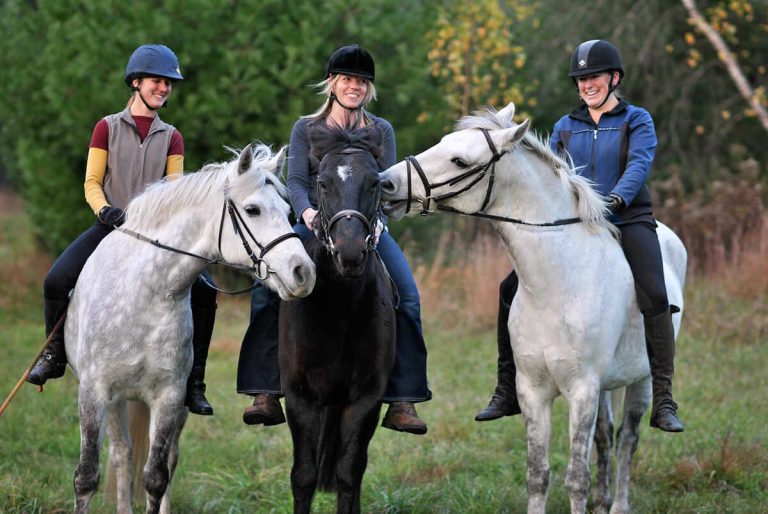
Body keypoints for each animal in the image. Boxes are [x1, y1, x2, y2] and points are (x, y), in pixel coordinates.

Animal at [65, 143, 316, 514]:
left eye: (287, 211)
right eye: (252, 210)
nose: (303, 273)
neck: (148, 291)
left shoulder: (169, 396)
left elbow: (156, 477)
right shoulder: (94, 392)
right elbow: (86, 476)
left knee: (166, 459)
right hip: (116, 400)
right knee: (121, 454)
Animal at [278, 124, 396, 514]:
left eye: (375, 183)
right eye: (324, 183)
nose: (350, 251)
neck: (339, 309)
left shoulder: (366, 400)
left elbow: (349, 474)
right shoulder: (300, 398)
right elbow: (303, 476)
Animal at [379, 103, 686, 514]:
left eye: (460, 160)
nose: (385, 183)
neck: (558, 284)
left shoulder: (582, 390)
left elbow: (577, 477)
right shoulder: (533, 391)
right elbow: (537, 474)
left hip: (642, 379)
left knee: (627, 439)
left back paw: (620, 501)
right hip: (607, 384)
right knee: (606, 436)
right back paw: (603, 502)